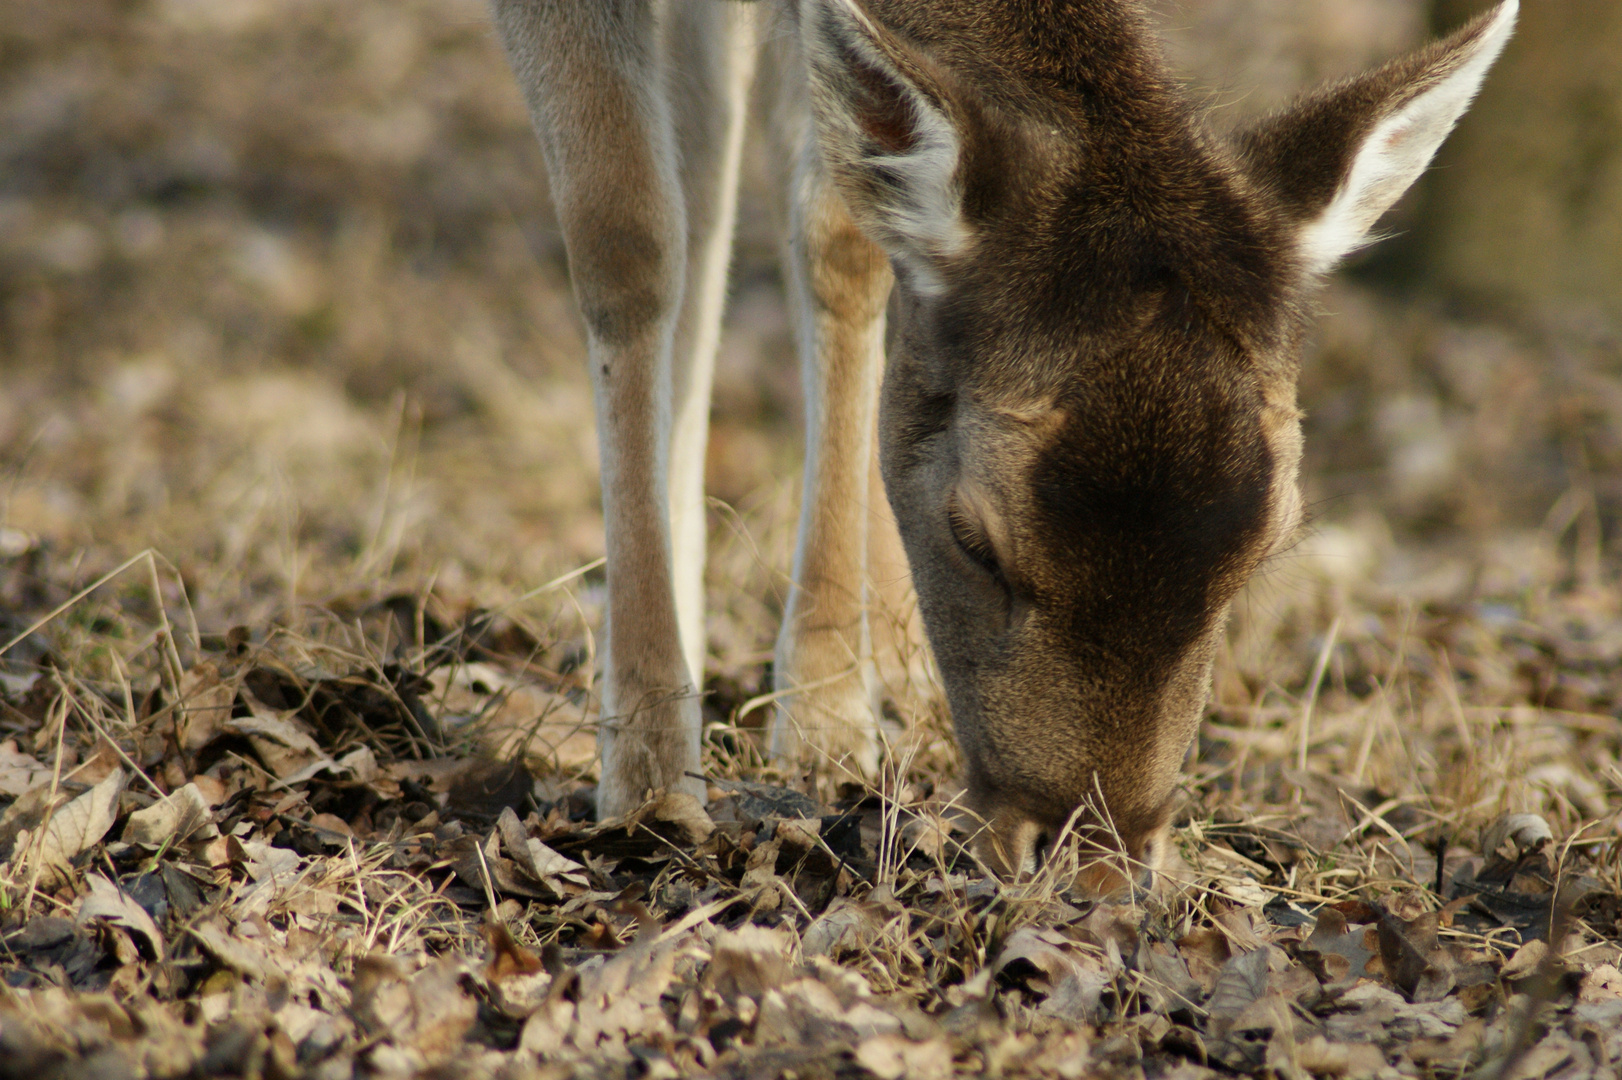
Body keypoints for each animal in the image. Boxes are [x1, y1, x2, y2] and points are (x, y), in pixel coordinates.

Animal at [483, 0, 1518, 888]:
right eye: (973, 537)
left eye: (1264, 548)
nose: (1086, 861)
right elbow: (625, 236)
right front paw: (648, 774)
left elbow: (840, 230)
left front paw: (826, 720)